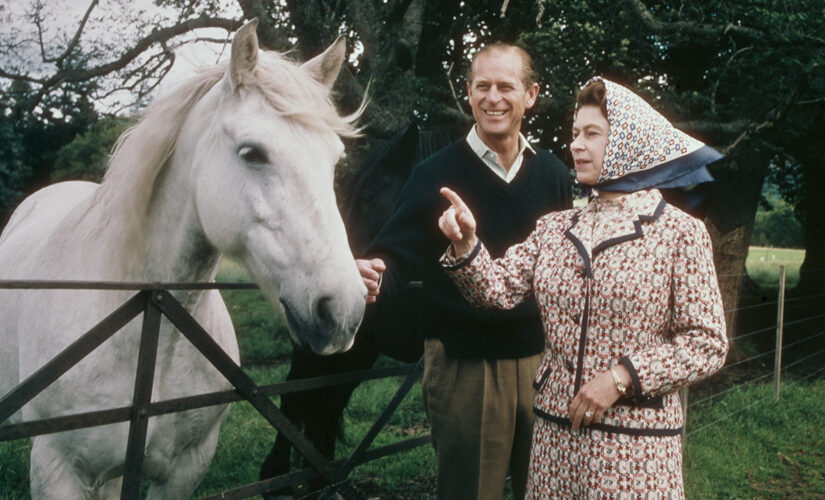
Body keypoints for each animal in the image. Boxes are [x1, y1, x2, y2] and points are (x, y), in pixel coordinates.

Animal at [0, 18, 366, 496]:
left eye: (334, 159)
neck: (148, 327)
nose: (343, 310)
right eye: (252, 153)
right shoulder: (57, 470)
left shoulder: (185, 469)